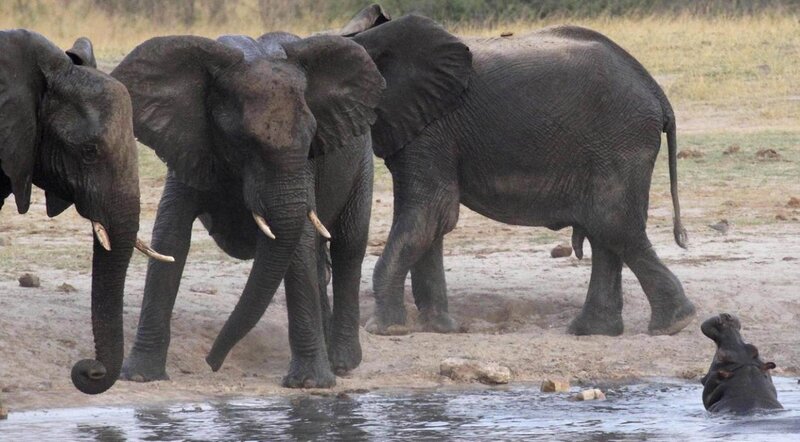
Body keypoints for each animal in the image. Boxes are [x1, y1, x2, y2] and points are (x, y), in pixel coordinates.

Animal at [111, 32, 384, 387]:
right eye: (244, 141)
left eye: (312, 138)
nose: (211, 363)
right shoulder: (191, 144)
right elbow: (171, 236)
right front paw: (141, 376)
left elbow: (297, 245)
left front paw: (309, 384)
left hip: (362, 164)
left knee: (348, 247)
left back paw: (342, 363)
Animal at [340, 8, 696, 337]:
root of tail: (657, 92)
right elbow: (431, 220)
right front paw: (440, 328)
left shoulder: (433, 127)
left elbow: (430, 213)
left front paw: (385, 330)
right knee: (605, 231)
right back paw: (595, 330)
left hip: (620, 138)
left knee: (612, 224)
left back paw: (673, 324)